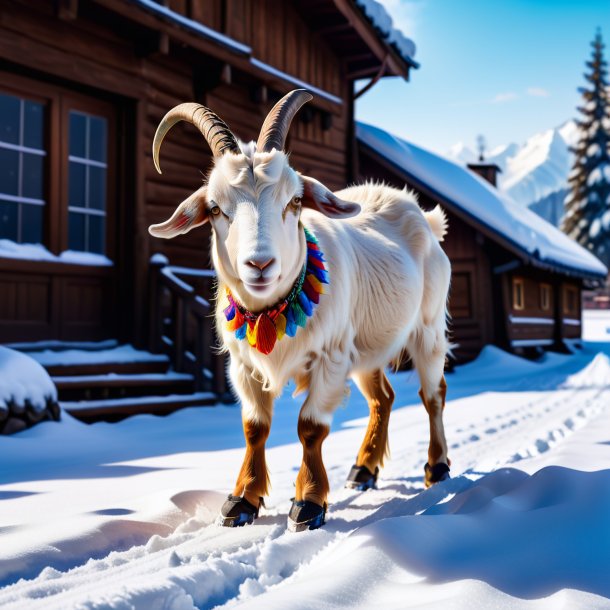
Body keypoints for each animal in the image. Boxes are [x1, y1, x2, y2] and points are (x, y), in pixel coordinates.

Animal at [149, 88, 448, 528]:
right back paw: (363, 469)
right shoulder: (243, 366)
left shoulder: (330, 357)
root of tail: (422, 214)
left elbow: (310, 427)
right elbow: (254, 427)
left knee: (433, 394)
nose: (259, 265)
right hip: (366, 344)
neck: (270, 313)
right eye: (216, 208)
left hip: (427, 326)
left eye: (293, 201)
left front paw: (308, 503)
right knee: (383, 397)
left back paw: (437, 467)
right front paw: (242, 499)